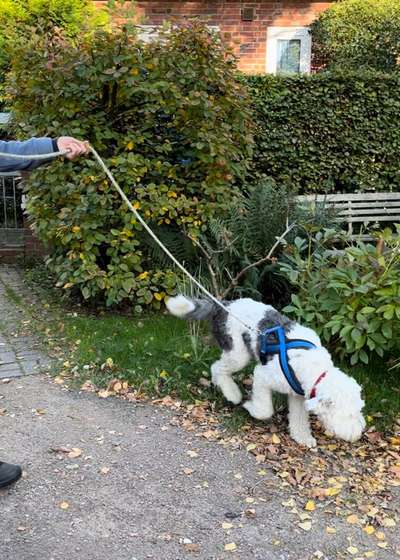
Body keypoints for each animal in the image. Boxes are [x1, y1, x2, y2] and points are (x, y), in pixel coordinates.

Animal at [166, 296, 366, 448]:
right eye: (350, 414)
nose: (358, 433)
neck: (314, 367)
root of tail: (225, 305)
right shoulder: (263, 376)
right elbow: (265, 410)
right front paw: (250, 407)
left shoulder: (297, 395)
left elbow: (299, 418)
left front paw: (303, 438)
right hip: (238, 353)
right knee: (218, 367)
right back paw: (232, 393)